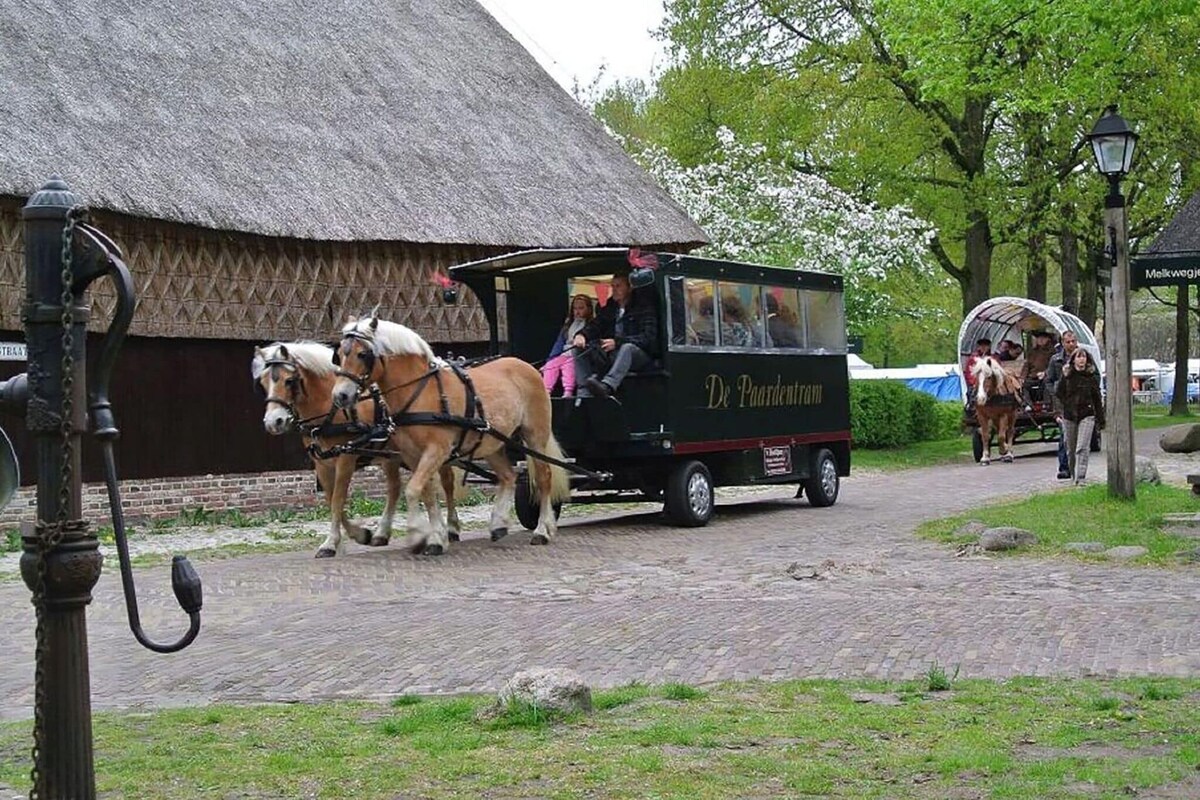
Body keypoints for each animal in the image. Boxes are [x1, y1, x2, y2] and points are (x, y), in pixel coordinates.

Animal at [250, 343, 460, 556]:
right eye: (262, 383)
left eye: (289, 380)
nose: (273, 422)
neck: (329, 406)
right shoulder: (321, 463)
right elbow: (330, 499)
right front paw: (359, 535)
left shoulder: (346, 459)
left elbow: (338, 498)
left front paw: (331, 543)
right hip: (391, 456)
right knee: (397, 487)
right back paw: (383, 533)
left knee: (446, 483)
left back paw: (451, 528)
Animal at [328, 316, 571, 554]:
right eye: (338, 354)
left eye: (362, 354)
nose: (340, 396)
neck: (419, 391)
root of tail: (527, 366)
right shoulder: (412, 455)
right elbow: (426, 493)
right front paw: (437, 537)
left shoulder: (437, 450)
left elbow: (413, 490)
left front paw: (418, 534)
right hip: (492, 442)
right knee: (508, 477)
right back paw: (499, 525)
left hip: (535, 435)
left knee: (544, 477)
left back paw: (542, 530)